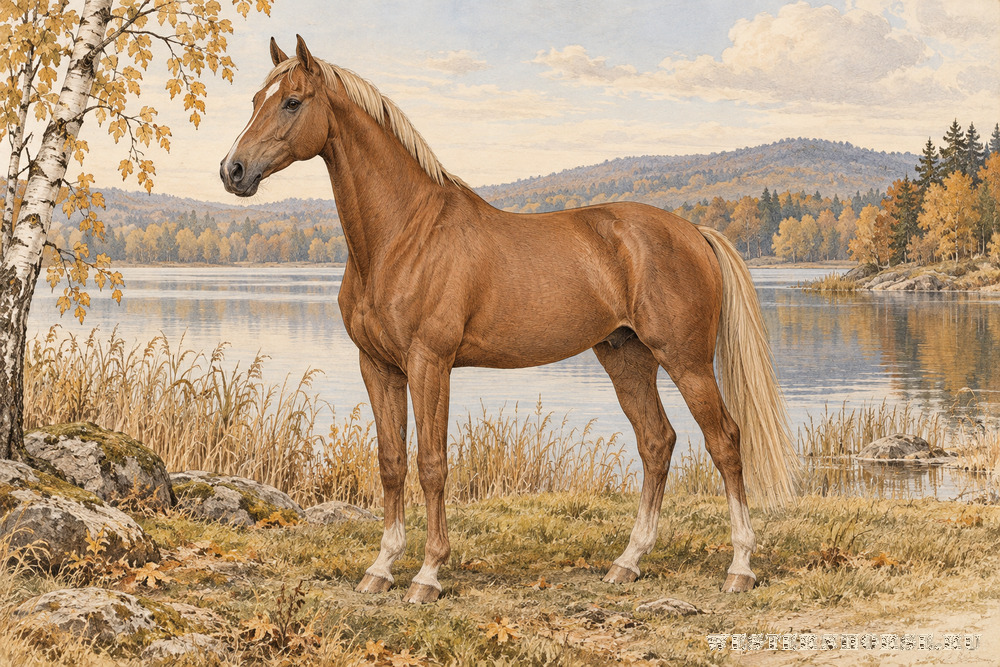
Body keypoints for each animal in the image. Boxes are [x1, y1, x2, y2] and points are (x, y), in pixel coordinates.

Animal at [220, 35, 798, 604]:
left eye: (292, 102)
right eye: (254, 100)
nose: (233, 171)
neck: (402, 236)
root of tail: (694, 230)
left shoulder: (430, 363)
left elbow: (432, 465)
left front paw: (428, 574)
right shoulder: (377, 366)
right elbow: (391, 463)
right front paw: (381, 567)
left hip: (686, 360)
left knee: (725, 441)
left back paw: (740, 568)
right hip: (626, 358)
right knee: (657, 443)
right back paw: (627, 563)